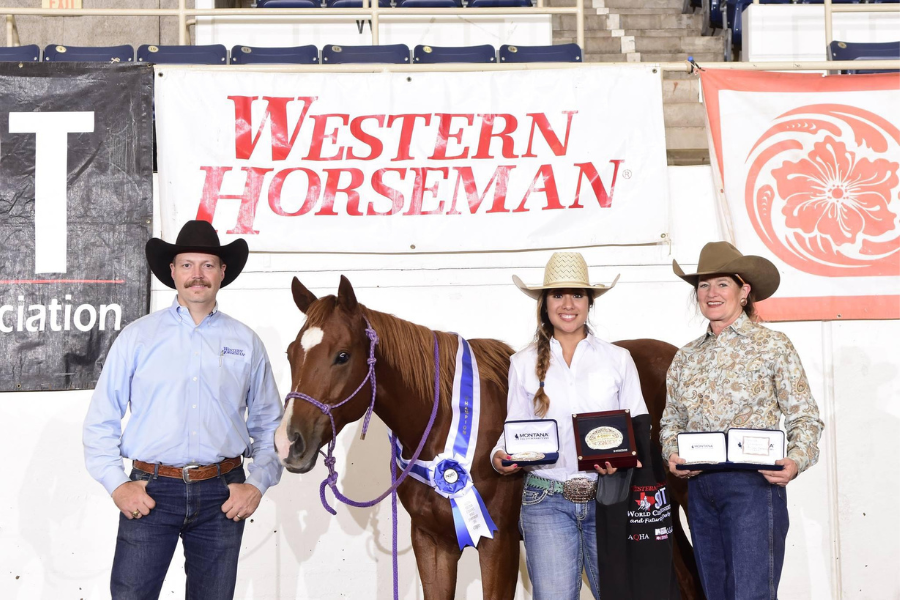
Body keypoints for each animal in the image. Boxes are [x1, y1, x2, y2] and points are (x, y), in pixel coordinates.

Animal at [274, 276, 704, 600]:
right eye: (291, 352)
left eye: (342, 355)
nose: (287, 442)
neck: (445, 427)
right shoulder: (432, 543)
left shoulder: (499, 543)